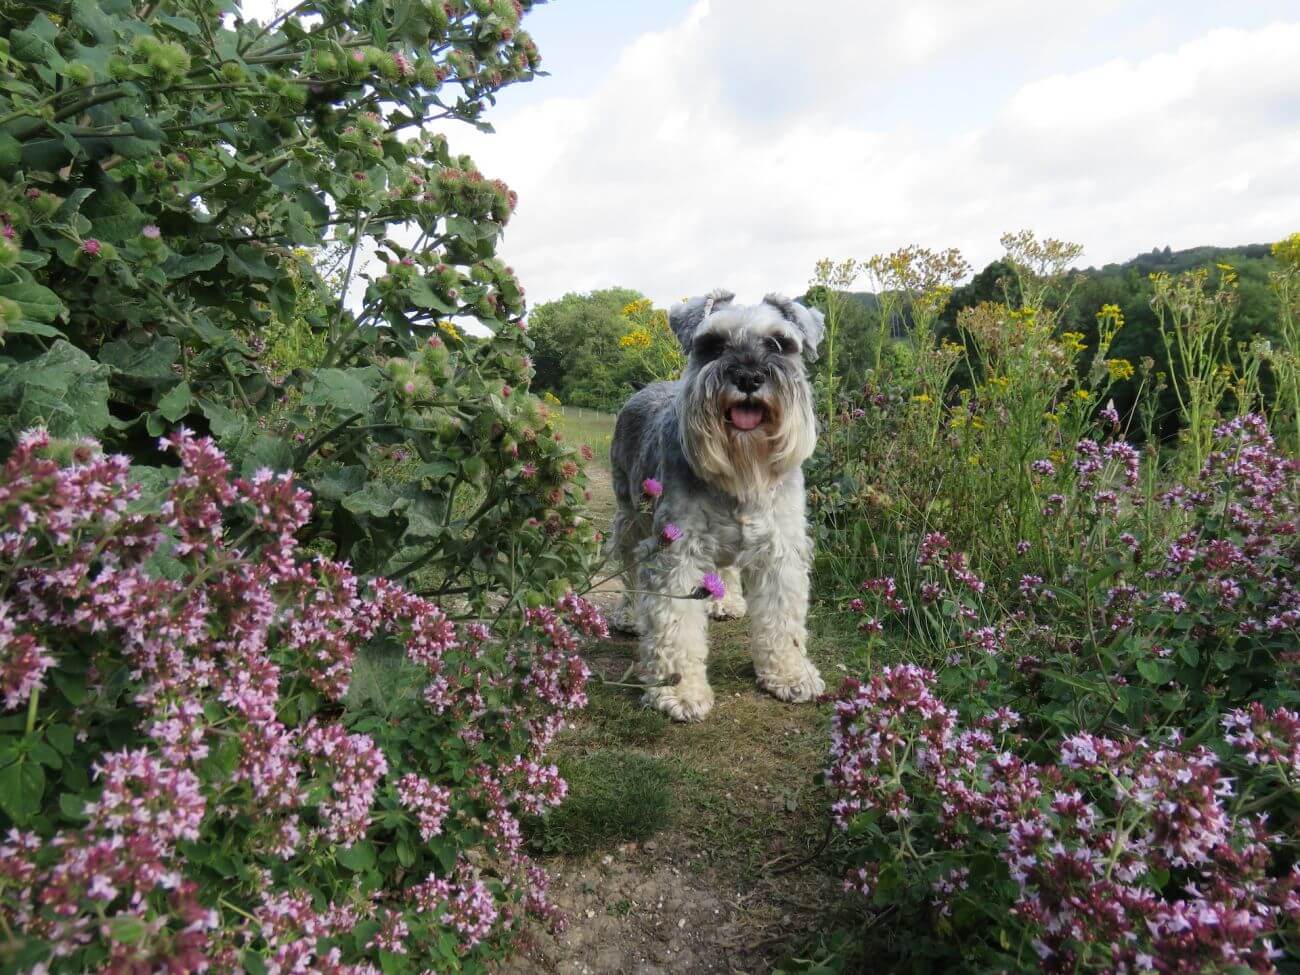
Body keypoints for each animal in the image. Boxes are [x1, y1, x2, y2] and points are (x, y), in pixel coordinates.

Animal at [605, 286, 821, 722]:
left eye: (780, 343)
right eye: (713, 344)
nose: (749, 377)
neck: (741, 471)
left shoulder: (781, 549)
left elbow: (784, 619)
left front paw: (789, 674)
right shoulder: (676, 552)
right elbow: (674, 626)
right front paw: (680, 692)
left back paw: (728, 600)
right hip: (630, 518)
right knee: (629, 570)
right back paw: (627, 615)